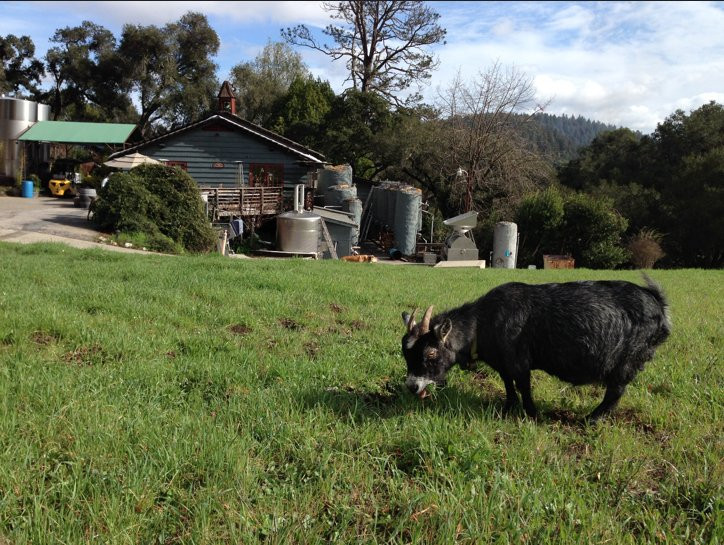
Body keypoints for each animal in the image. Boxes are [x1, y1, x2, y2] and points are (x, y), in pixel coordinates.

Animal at [398, 276, 672, 420]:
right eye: (405, 353)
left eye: (430, 353)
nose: (412, 387)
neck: (483, 323)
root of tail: (658, 304)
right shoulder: (503, 363)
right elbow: (508, 384)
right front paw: (508, 407)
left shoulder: (520, 362)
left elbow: (524, 386)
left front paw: (532, 415)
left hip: (628, 360)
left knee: (615, 391)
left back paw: (590, 420)